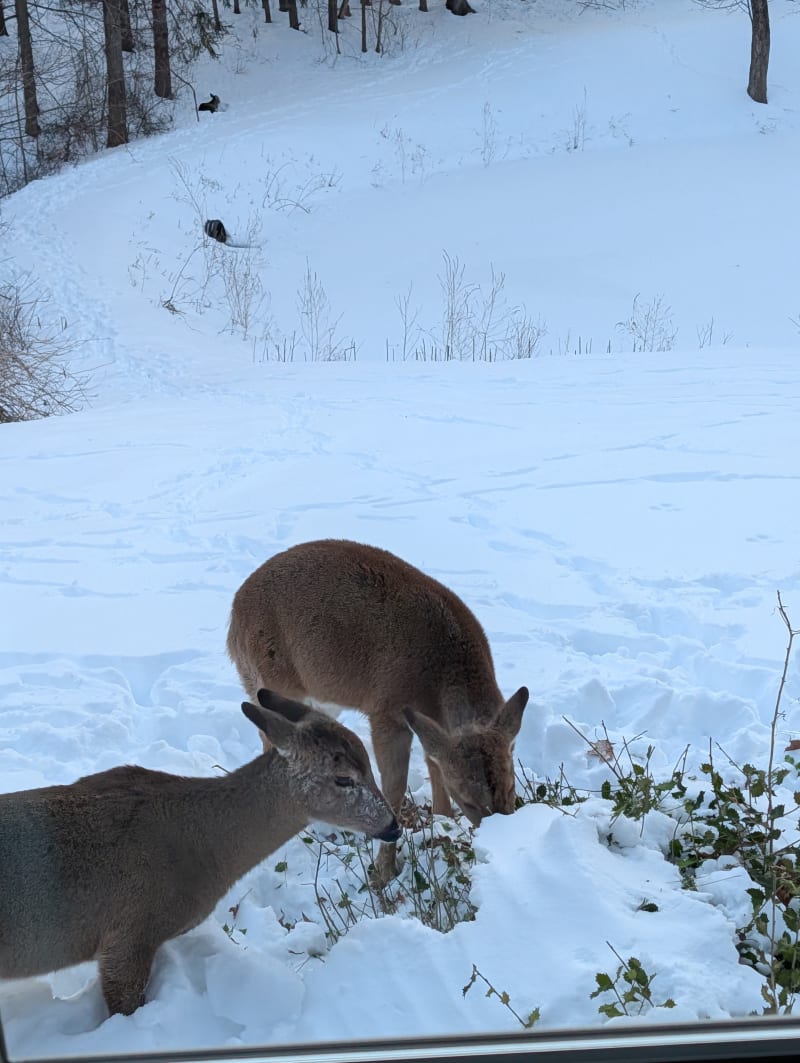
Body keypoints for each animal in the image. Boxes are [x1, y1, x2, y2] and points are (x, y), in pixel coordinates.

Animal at [227, 539, 529, 885]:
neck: (438, 676)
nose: (503, 838)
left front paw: (441, 823)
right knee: (270, 738)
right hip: (269, 677)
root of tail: (234, 615)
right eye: (468, 800)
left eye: (511, 786)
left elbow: (433, 763)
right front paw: (384, 872)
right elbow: (394, 788)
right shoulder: (385, 710)